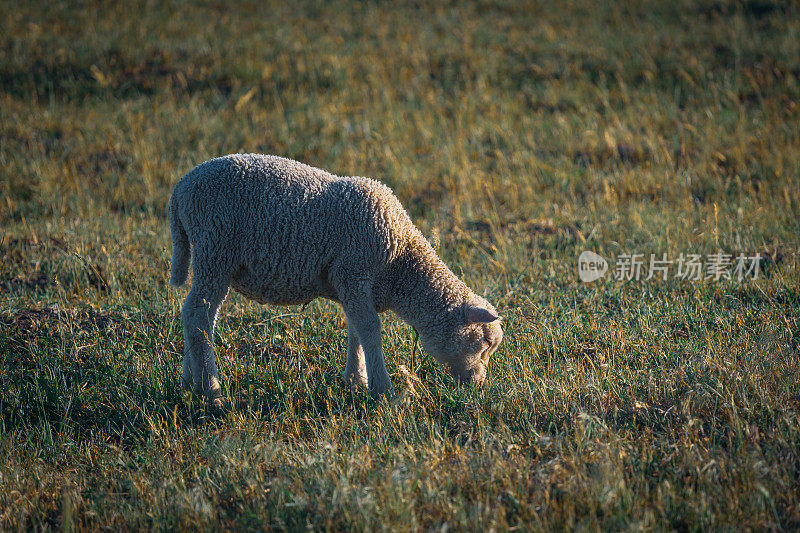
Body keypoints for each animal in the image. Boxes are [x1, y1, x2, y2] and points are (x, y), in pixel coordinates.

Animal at [170, 154, 500, 404]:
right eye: (485, 343)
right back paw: (211, 390)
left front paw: (356, 379)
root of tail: (181, 188)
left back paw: (190, 379)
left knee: (195, 316)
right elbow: (370, 329)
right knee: (198, 315)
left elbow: (356, 328)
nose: (479, 385)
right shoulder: (354, 270)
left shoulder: (353, 285)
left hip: (211, 255)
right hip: (216, 249)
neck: (402, 264)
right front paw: (383, 390)